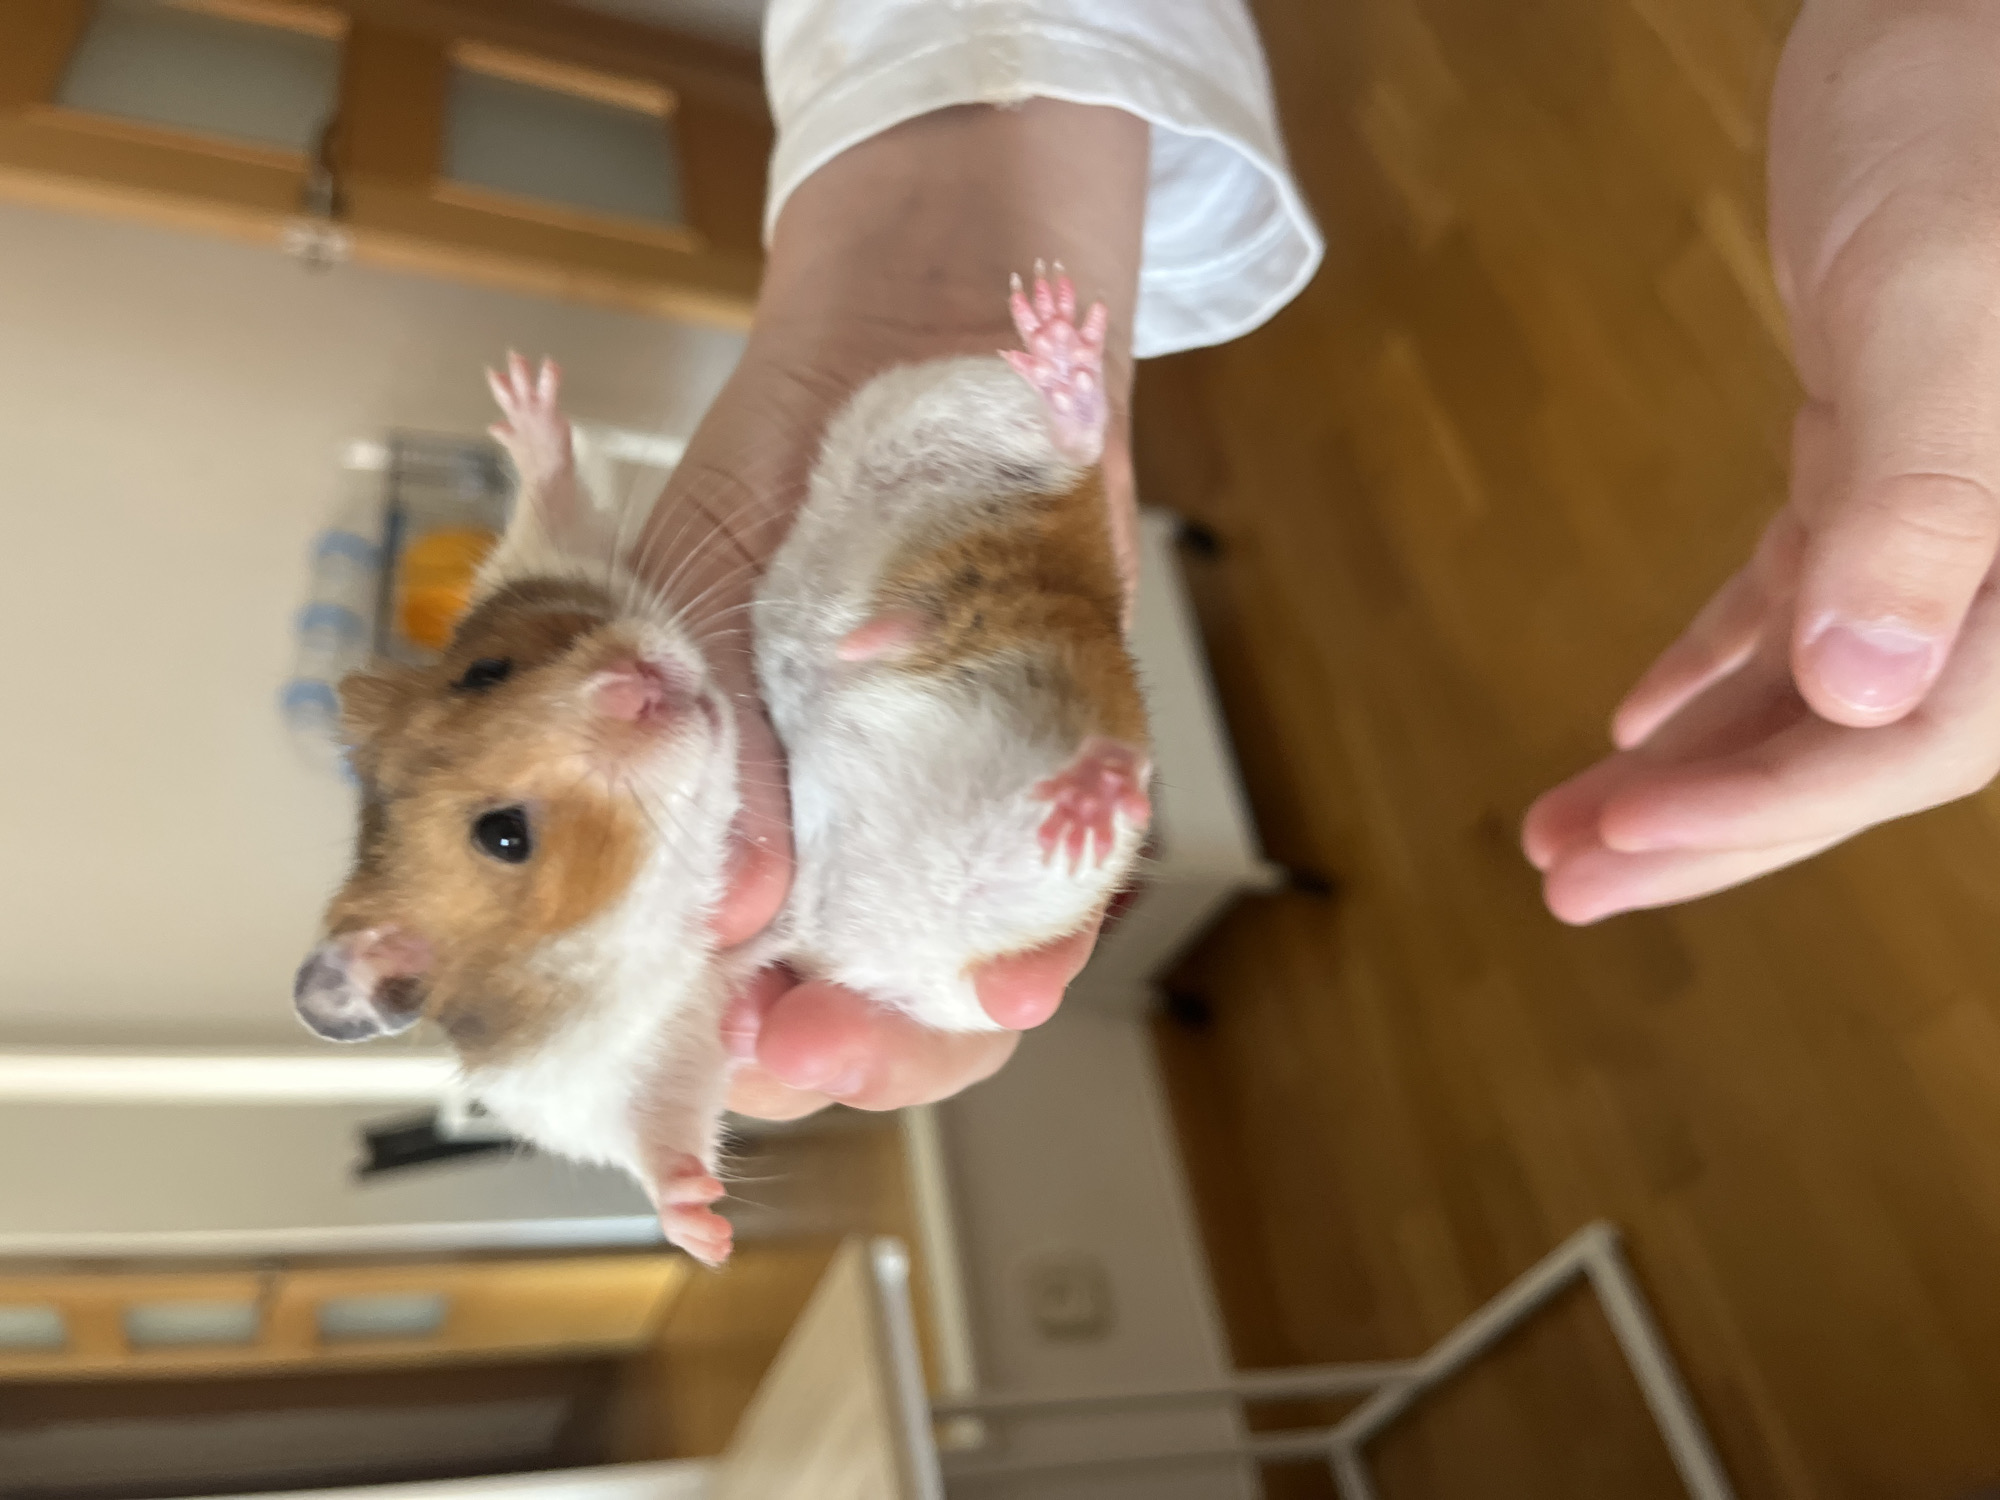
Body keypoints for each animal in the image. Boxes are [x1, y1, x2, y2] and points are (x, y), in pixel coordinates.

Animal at [293, 356, 741, 1265]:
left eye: (485, 671)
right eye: (504, 836)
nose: (632, 683)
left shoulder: (557, 557)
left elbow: (556, 508)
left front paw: (521, 395)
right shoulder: (609, 1061)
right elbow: (662, 1129)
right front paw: (706, 1231)